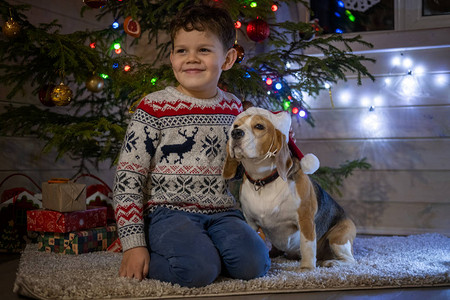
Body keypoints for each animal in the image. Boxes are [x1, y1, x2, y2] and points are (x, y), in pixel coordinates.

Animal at [223, 107, 356, 270]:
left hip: (339, 238)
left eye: (259, 126)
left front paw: (307, 268)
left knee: (350, 260)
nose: (236, 133)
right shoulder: (250, 221)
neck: (263, 181)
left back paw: (331, 262)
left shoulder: (305, 218)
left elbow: (307, 245)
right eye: (236, 126)